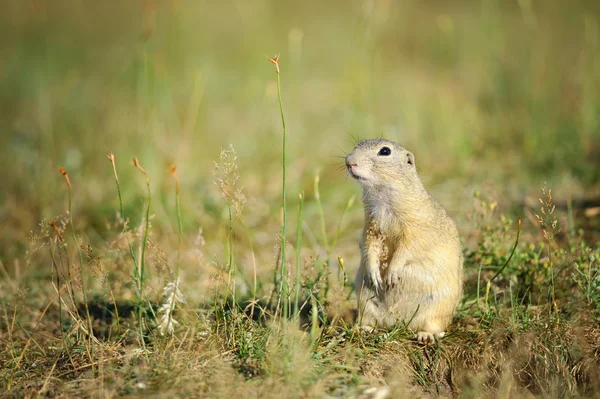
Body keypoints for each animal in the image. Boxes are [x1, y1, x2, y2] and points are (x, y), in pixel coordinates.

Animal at [344, 140, 462, 344]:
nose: (349, 162)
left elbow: (407, 248)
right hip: (365, 301)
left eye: (385, 151)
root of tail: (397, 322)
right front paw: (375, 275)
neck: (382, 197)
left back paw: (426, 335)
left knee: (437, 326)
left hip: (438, 307)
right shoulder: (371, 228)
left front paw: (391, 274)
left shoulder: (416, 228)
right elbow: (369, 246)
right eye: (356, 145)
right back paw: (362, 329)